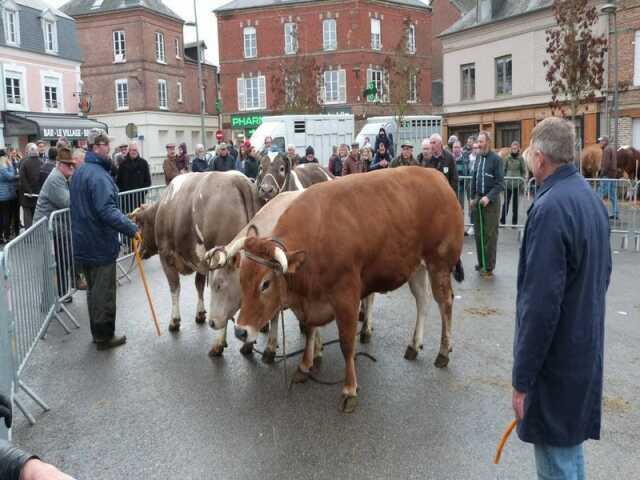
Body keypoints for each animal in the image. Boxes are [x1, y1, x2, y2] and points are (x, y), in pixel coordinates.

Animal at [218, 166, 462, 412]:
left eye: (265, 284)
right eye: (242, 280)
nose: (240, 331)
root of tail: (436, 176)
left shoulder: (347, 298)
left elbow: (347, 344)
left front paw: (349, 389)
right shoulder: (311, 300)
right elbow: (309, 330)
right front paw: (304, 367)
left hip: (439, 263)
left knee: (445, 303)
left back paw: (443, 352)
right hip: (416, 267)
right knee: (422, 302)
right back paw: (414, 345)